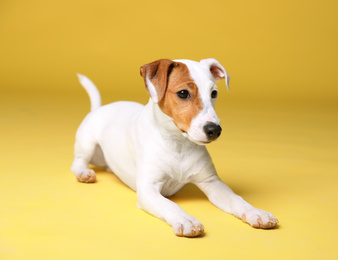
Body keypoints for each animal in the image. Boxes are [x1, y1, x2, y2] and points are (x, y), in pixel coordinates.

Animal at [70, 59, 278, 238]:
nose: (214, 130)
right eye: (183, 93)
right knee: (78, 161)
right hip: (87, 143)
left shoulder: (212, 183)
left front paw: (256, 212)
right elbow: (170, 205)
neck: (178, 144)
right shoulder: (148, 190)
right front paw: (186, 220)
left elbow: (237, 199)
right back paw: (84, 173)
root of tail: (99, 108)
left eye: (214, 93)